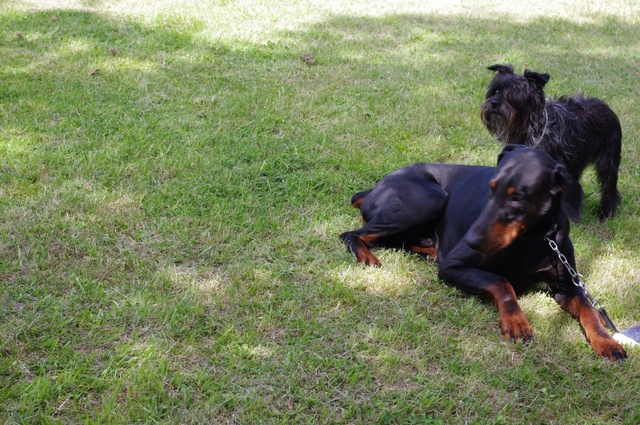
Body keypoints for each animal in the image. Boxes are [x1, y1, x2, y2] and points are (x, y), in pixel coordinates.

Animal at [342, 146, 628, 362]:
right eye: (491, 187)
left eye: (517, 198)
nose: (471, 240)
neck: (533, 238)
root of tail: (376, 186)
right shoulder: (453, 266)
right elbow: (501, 281)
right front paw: (516, 321)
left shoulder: (567, 283)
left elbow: (588, 309)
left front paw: (607, 342)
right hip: (429, 198)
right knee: (351, 233)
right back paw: (367, 256)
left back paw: (429, 250)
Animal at [480, 65, 620, 222]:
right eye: (496, 91)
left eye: (514, 94)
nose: (494, 103)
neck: (531, 129)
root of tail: (606, 107)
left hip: (607, 161)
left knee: (609, 188)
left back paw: (607, 213)